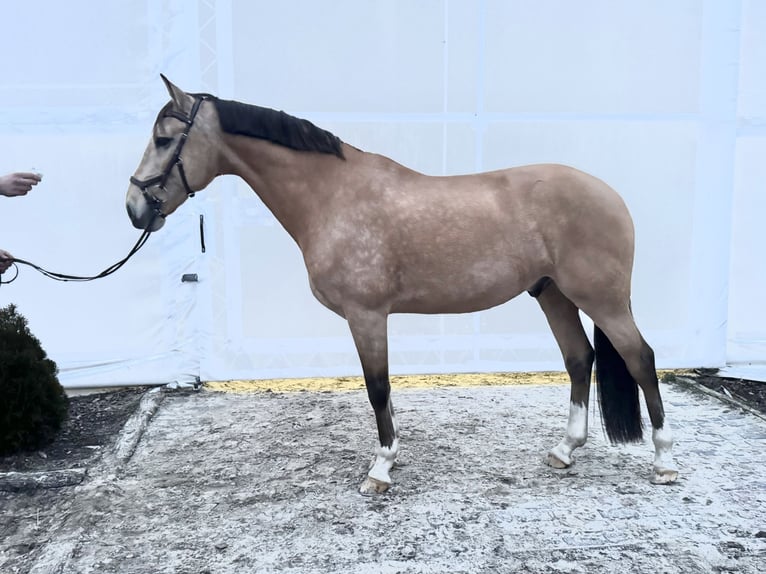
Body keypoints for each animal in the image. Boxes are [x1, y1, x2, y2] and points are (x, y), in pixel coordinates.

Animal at [126, 77, 680, 496]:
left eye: (163, 140)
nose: (134, 209)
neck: (333, 196)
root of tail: (610, 195)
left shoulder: (366, 315)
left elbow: (377, 388)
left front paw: (380, 468)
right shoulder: (373, 318)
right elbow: (384, 390)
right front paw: (394, 455)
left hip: (601, 299)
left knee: (640, 358)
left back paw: (664, 462)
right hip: (553, 294)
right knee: (579, 358)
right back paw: (565, 451)